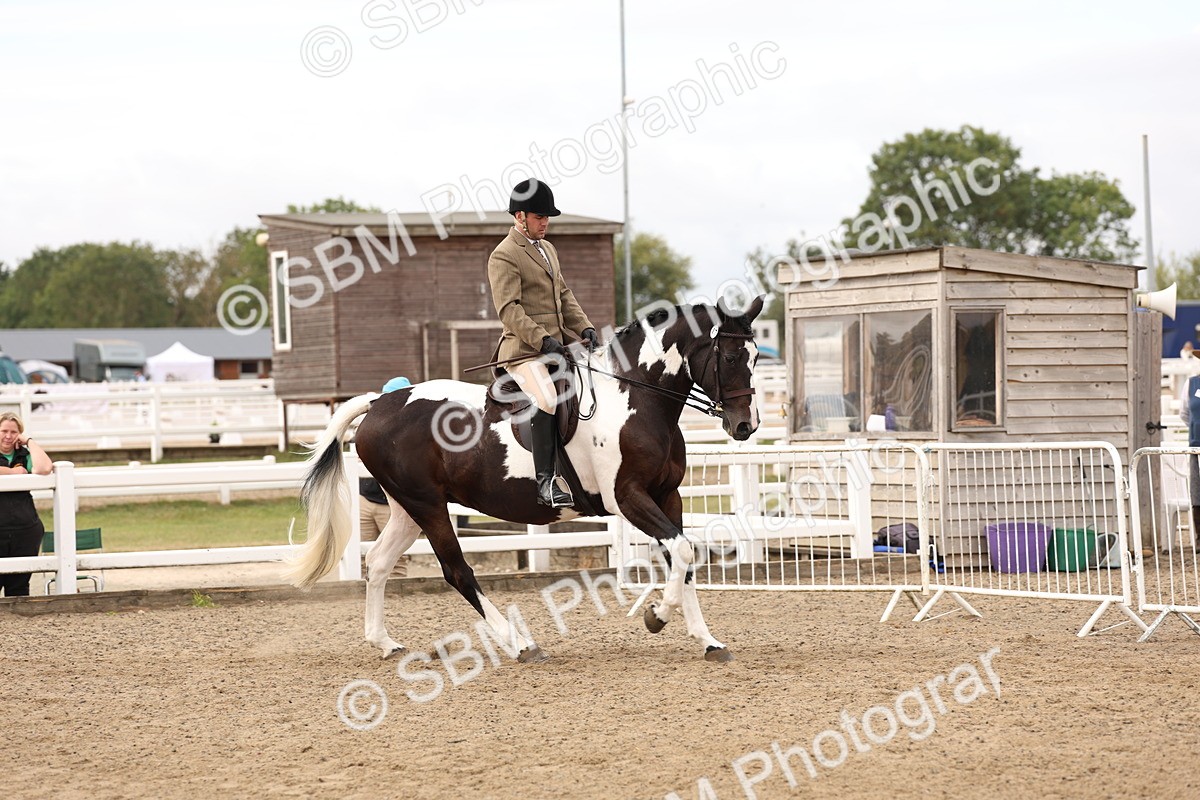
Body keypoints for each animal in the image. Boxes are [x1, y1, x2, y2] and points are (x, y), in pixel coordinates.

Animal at [285, 297, 764, 663]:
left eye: (757, 357)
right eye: (729, 357)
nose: (745, 426)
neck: (636, 396)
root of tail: (380, 403)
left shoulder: (668, 495)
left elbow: (683, 556)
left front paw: (708, 641)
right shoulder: (628, 497)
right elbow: (680, 550)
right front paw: (657, 617)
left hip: (406, 507)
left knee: (380, 562)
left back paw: (386, 643)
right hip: (427, 506)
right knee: (457, 571)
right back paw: (519, 644)